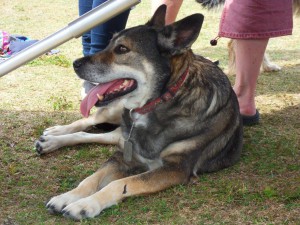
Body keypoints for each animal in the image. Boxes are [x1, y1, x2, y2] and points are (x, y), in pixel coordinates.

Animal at [35, 5, 243, 220]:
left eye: (122, 49)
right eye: (109, 43)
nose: (75, 63)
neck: (156, 104)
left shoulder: (175, 168)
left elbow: (118, 184)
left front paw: (85, 204)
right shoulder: (123, 155)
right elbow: (91, 179)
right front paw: (67, 197)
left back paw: (51, 141)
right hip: (116, 114)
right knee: (90, 121)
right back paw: (54, 135)